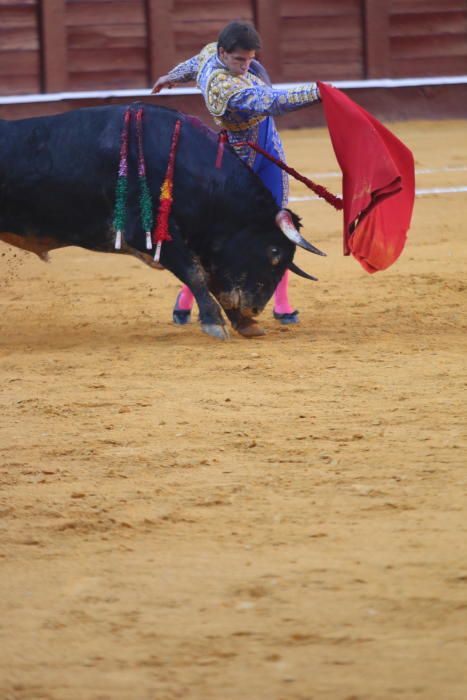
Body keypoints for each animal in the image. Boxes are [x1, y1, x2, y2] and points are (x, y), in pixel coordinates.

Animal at [0, 103, 326, 340]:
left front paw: (243, 324)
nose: (255, 309)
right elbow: (195, 273)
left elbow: (212, 277)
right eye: (274, 253)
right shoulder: (147, 232)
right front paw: (215, 323)